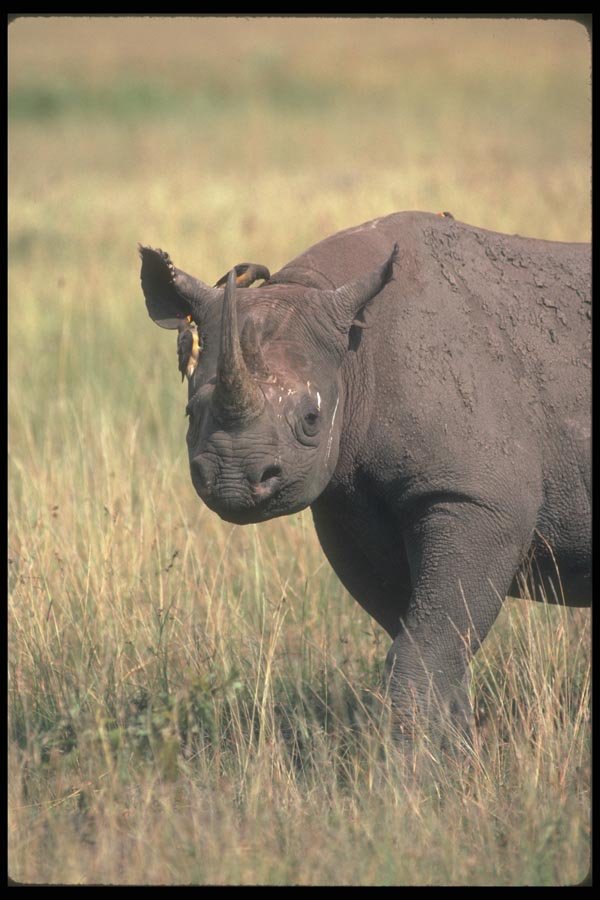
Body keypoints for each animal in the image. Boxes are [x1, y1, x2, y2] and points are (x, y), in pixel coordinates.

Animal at [139, 211, 591, 747]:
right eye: (190, 413)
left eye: (311, 420)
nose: (232, 479)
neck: (353, 357)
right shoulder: (348, 505)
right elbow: (422, 638)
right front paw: (451, 753)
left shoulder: (477, 497)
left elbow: (428, 643)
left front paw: (411, 765)